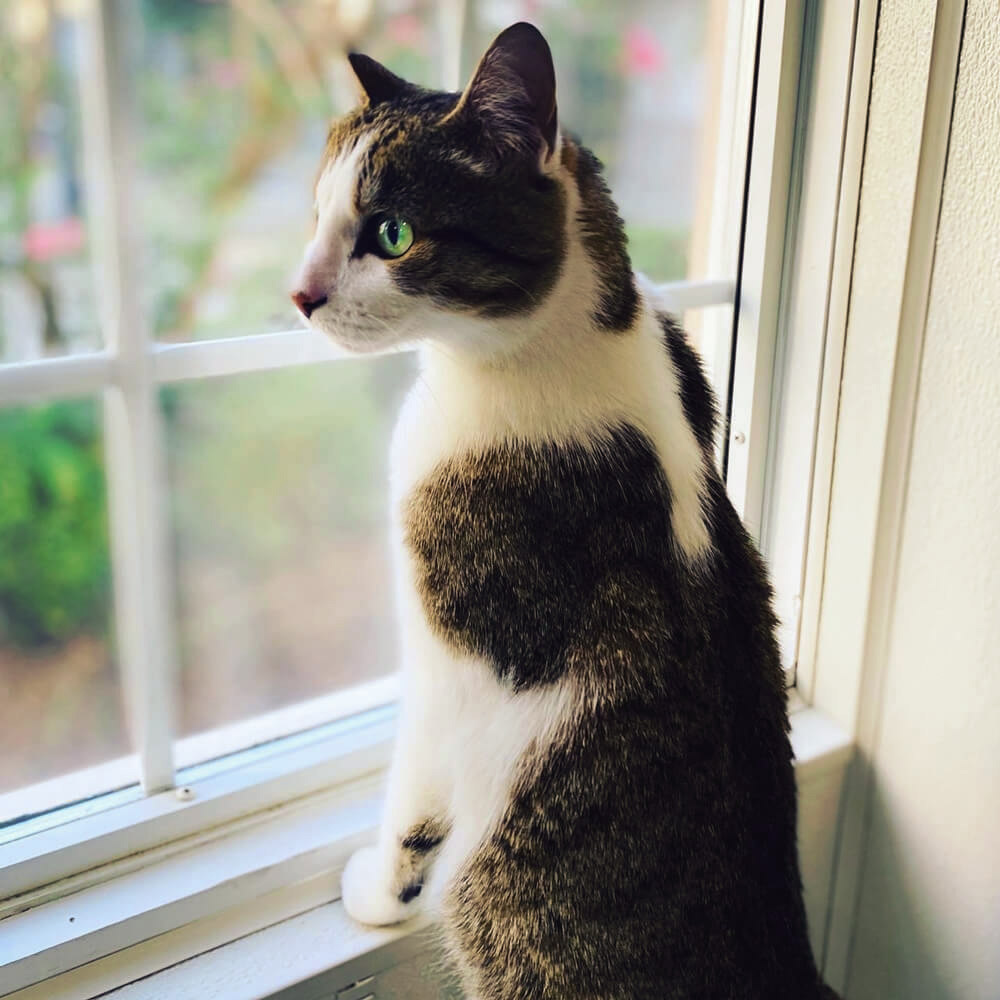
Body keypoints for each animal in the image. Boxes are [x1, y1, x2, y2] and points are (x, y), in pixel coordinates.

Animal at [292, 17, 840, 1000]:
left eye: (391, 233)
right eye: (316, 212)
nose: (300, 294)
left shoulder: (452, 652)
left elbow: (415, 788)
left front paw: (380, 891)